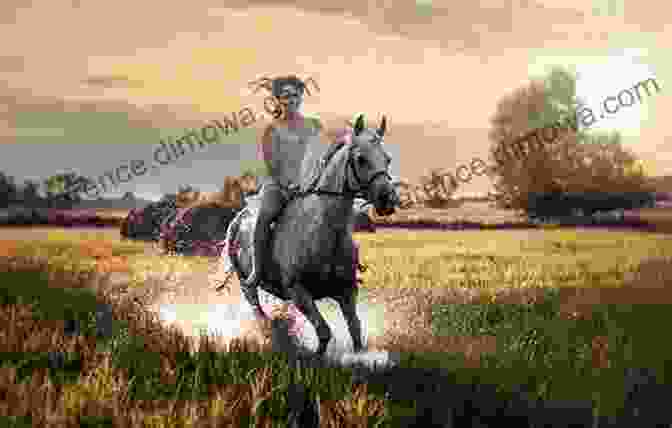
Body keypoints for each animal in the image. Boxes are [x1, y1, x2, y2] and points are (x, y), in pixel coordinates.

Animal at [217, 114, 400, 358]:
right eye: (361, 159)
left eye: (387, 159)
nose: (388, 199)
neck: (325, 232)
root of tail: (239, 217)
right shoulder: (299, 292)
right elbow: (324, 332)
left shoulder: (347, 291)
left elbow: (356, 331)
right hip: (247, 285)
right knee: (258, 312)